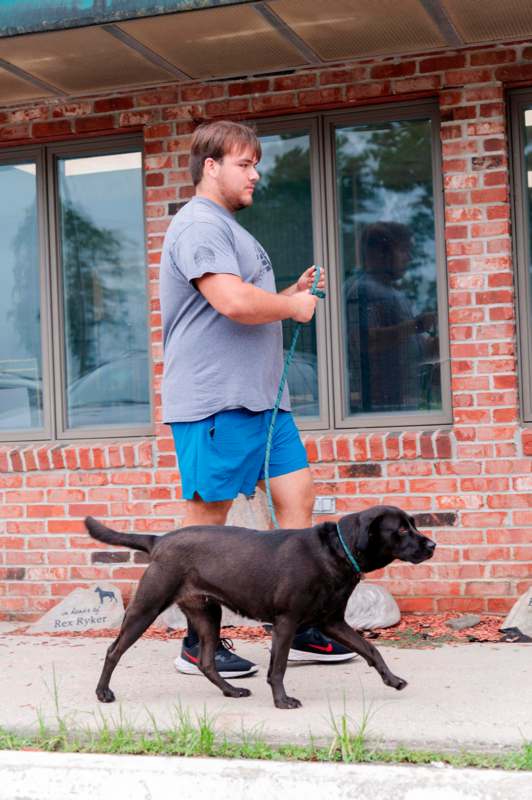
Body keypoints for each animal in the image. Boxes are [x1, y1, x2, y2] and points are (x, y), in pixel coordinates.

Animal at [86, 510, 436, 708]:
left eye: (413, 525)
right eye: (401, 530)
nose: (432, 545)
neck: (336, 550)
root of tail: (159, 540)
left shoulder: (332, 622)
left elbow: (371, 649)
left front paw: (392, 679)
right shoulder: (286, 622)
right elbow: (277, 668)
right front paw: (282, 701)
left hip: (208, 614)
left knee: (207, 663)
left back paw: (231, 691)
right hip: (147, 607)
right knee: (114, 650)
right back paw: (103, 692)